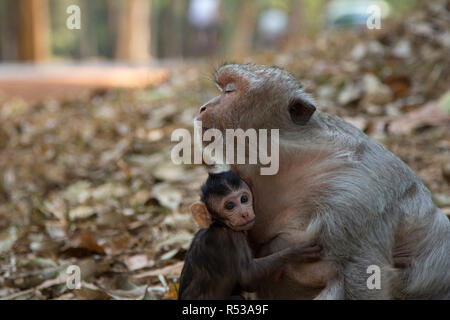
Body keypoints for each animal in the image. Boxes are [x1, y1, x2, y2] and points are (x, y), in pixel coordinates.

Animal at [178, 171, 322, 298]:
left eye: (244, 199)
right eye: (229, 206)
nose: (244, 214)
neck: (219, 224)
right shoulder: (231, 238)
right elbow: (247, 278)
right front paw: (296, 252)